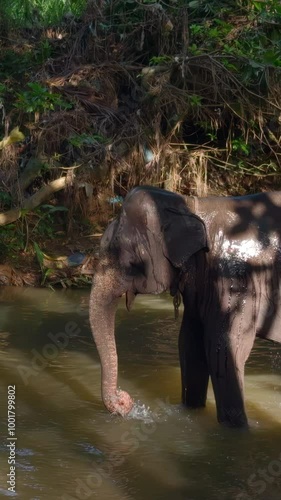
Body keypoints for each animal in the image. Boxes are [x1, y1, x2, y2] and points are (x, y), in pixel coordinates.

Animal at [89, 186, 280, 428]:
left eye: (131, 262)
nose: (125, 401)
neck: (191, 205)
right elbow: (190, 343)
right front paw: (191, 413)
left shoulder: (235, 279)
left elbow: (224, 349)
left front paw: (237, 430)